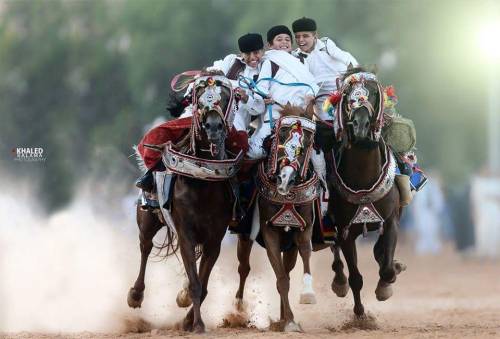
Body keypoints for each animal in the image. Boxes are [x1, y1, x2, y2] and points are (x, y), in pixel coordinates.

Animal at [128, 73, 243, 334]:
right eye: (199, 99)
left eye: (224, 98)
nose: (213, 127)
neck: (203, 180)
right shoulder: (186, 234)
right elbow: (195, 284)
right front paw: (197, 324)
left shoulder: (214, 238)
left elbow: (203, 282)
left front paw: (189, 320)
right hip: (147, 218)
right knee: (145, 247)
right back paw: (135, 294)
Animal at [233, 103, 320, 332]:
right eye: (281, 134)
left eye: (309, 141)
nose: (285, 179)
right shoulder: (269, 231)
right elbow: (280, 280)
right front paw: (289, 321)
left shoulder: (303, 228)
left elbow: (304, 255)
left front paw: (306, 296)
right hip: (245, 236)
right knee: (244, 268)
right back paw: (238, 308)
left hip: (288, 246)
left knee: (287, 271)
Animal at [328, 67, 406, 318]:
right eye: (348, 96)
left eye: (372, 93)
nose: (360, 126)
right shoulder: (345, 230)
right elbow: (356, 277)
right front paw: (361, 315)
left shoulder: (391, 221)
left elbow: (387, 268)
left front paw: (386, 284)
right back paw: (339, 281)